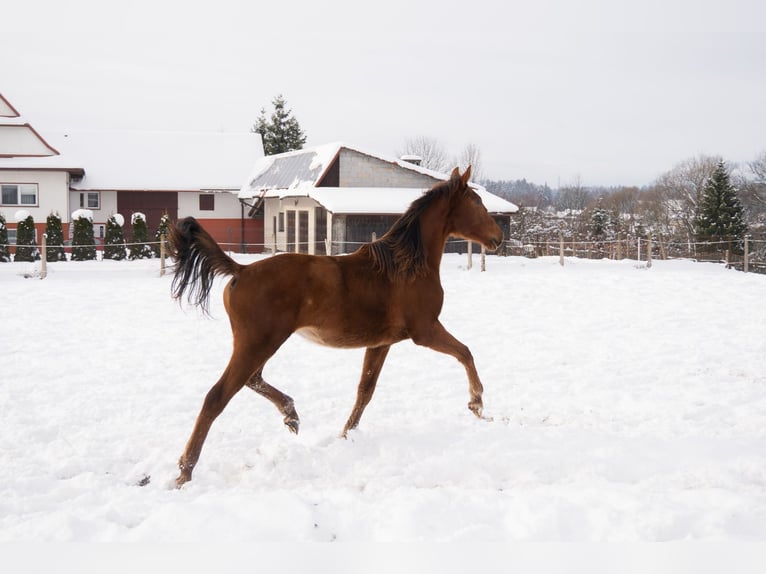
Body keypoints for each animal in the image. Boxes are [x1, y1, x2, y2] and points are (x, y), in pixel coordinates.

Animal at [168, 166, 503, 487]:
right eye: (477, 202)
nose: (498, 237)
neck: (406, 266)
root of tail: (240, 270)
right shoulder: (425, 330)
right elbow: (466, 352)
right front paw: (477, 404)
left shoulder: (381, 343)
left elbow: (365, 390)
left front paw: (346, 434)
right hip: (258, 343)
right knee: (217, 396)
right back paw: (185, 471)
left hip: (259, 344)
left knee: (253, 379)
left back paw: (291, 415)